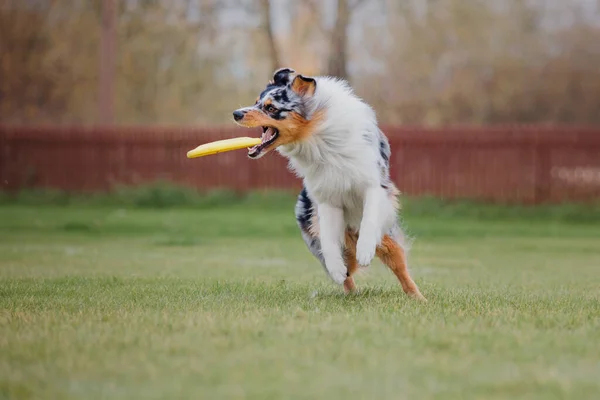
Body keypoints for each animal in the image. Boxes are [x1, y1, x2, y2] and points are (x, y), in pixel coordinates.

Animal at [232, 69, 424, 300]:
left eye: (271, 108)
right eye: (256, 102)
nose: (236, 113)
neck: (318, 138)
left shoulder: (374, 186)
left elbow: (369, 218)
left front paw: (365, 250)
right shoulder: (326, 199)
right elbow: (329, 241)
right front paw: (336, 269)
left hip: (388, 240)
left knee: (400, 269)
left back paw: (419, 298)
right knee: (346, 270)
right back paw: (348, 287)